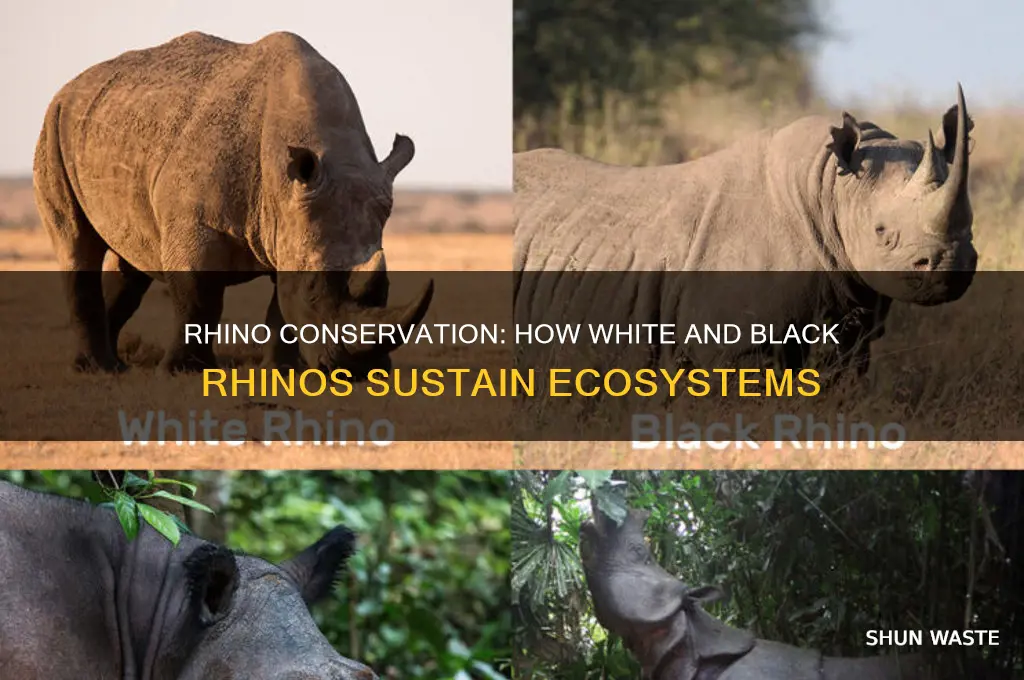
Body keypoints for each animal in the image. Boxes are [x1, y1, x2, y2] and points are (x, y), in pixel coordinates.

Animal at [33, 31, 433, 375]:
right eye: (313, 288)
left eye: (387, 287)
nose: (358, 371)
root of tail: (70, 86)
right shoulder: (199, 224)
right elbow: (199, 297)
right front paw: (183, 372)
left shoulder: (287, 224)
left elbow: (280, 310)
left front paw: (281, 371)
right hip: (53, 125)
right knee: (75, 243)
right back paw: (95, 368)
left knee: (132, 258)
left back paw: (115, 365)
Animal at [514, 87, 976, 377]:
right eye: (882, 232)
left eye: (971, 226)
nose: (949, 266)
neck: (829, 187)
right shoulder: (735, 339)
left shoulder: (851, 321)